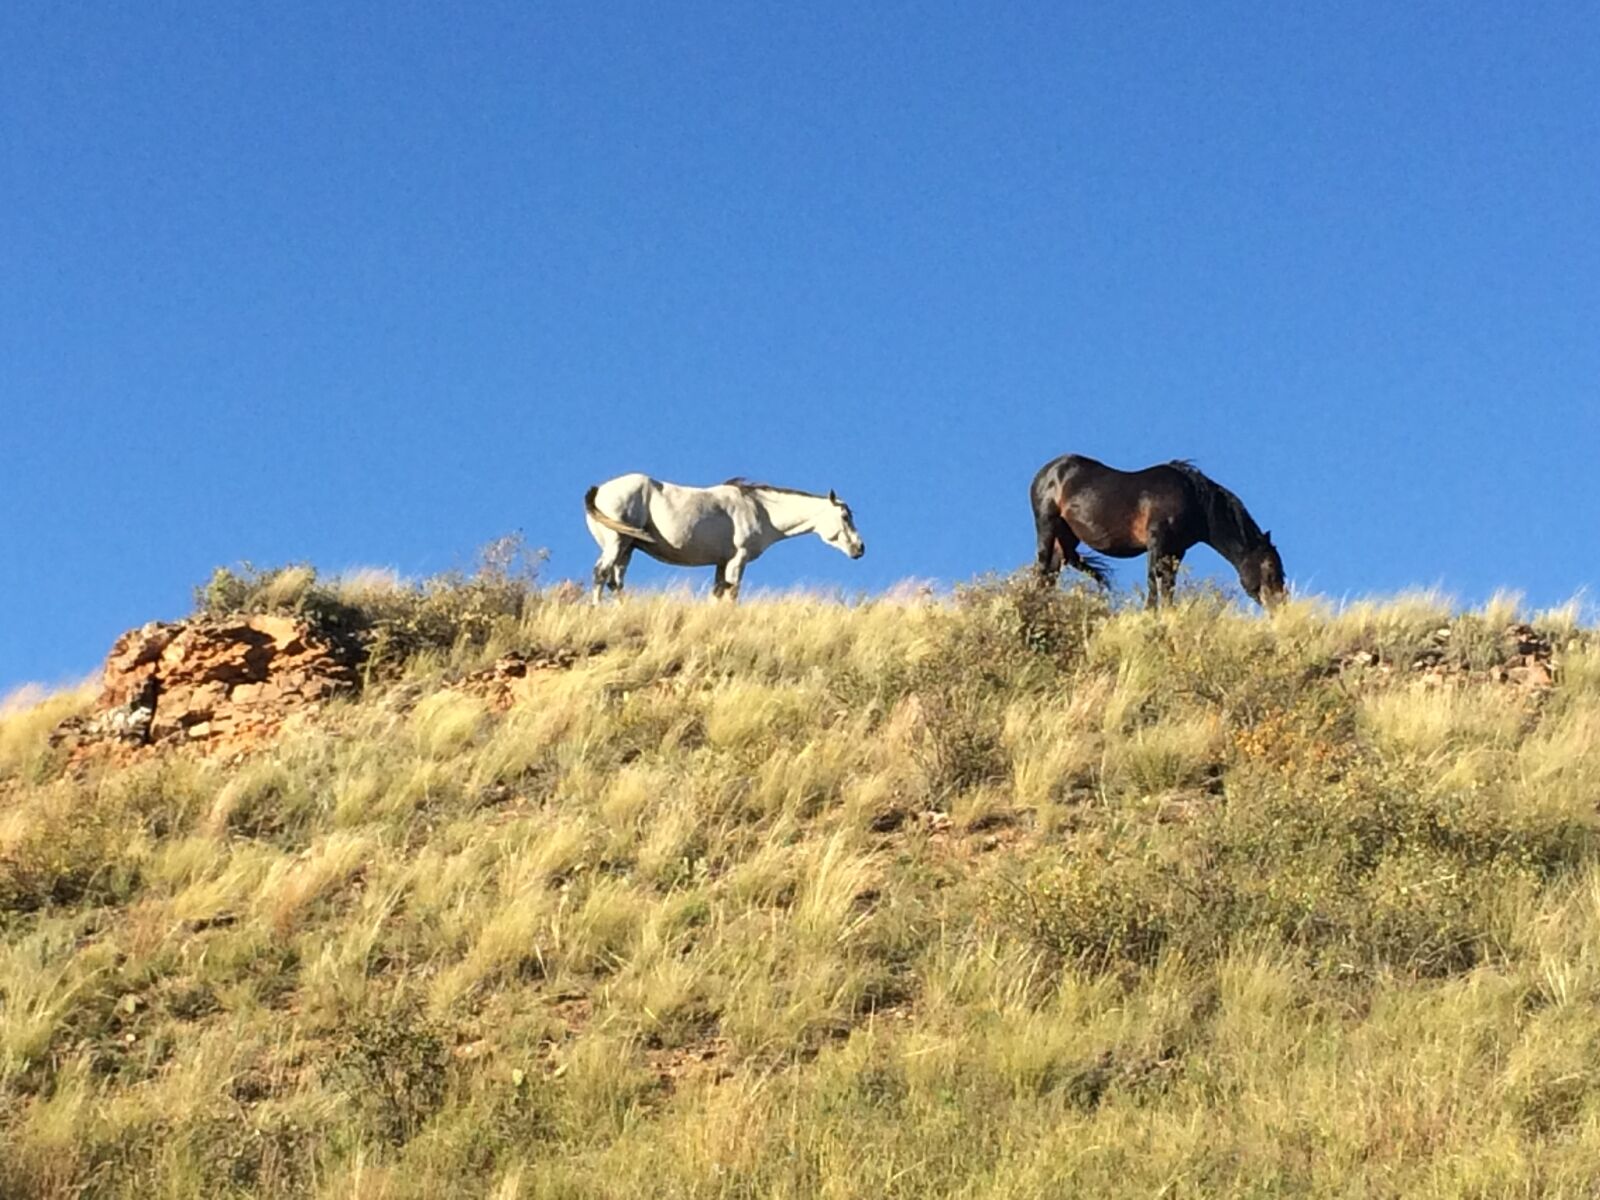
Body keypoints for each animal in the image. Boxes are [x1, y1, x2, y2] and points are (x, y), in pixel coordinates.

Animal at [584, 473, 865, 603]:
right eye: (844, 516)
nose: (860, 548)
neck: (759, 508)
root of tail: (599, 490)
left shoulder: (721, 562)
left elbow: (718, 594)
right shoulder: (738, 559)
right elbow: (732, 593)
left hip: (627, 548)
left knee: (616, 581)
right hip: (617, 543)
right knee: (601, 574)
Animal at [1030, 454, 1286, 608]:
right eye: (1269, 566)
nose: (1280, 605)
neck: (1193, 499)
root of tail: (1047, 471)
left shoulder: (1176, 550)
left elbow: (1169, 583)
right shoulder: (1157, 542)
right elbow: (1154, 579)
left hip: (1067, 537)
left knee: (1051, 572)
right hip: (1047, 524)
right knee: (1042, 566)